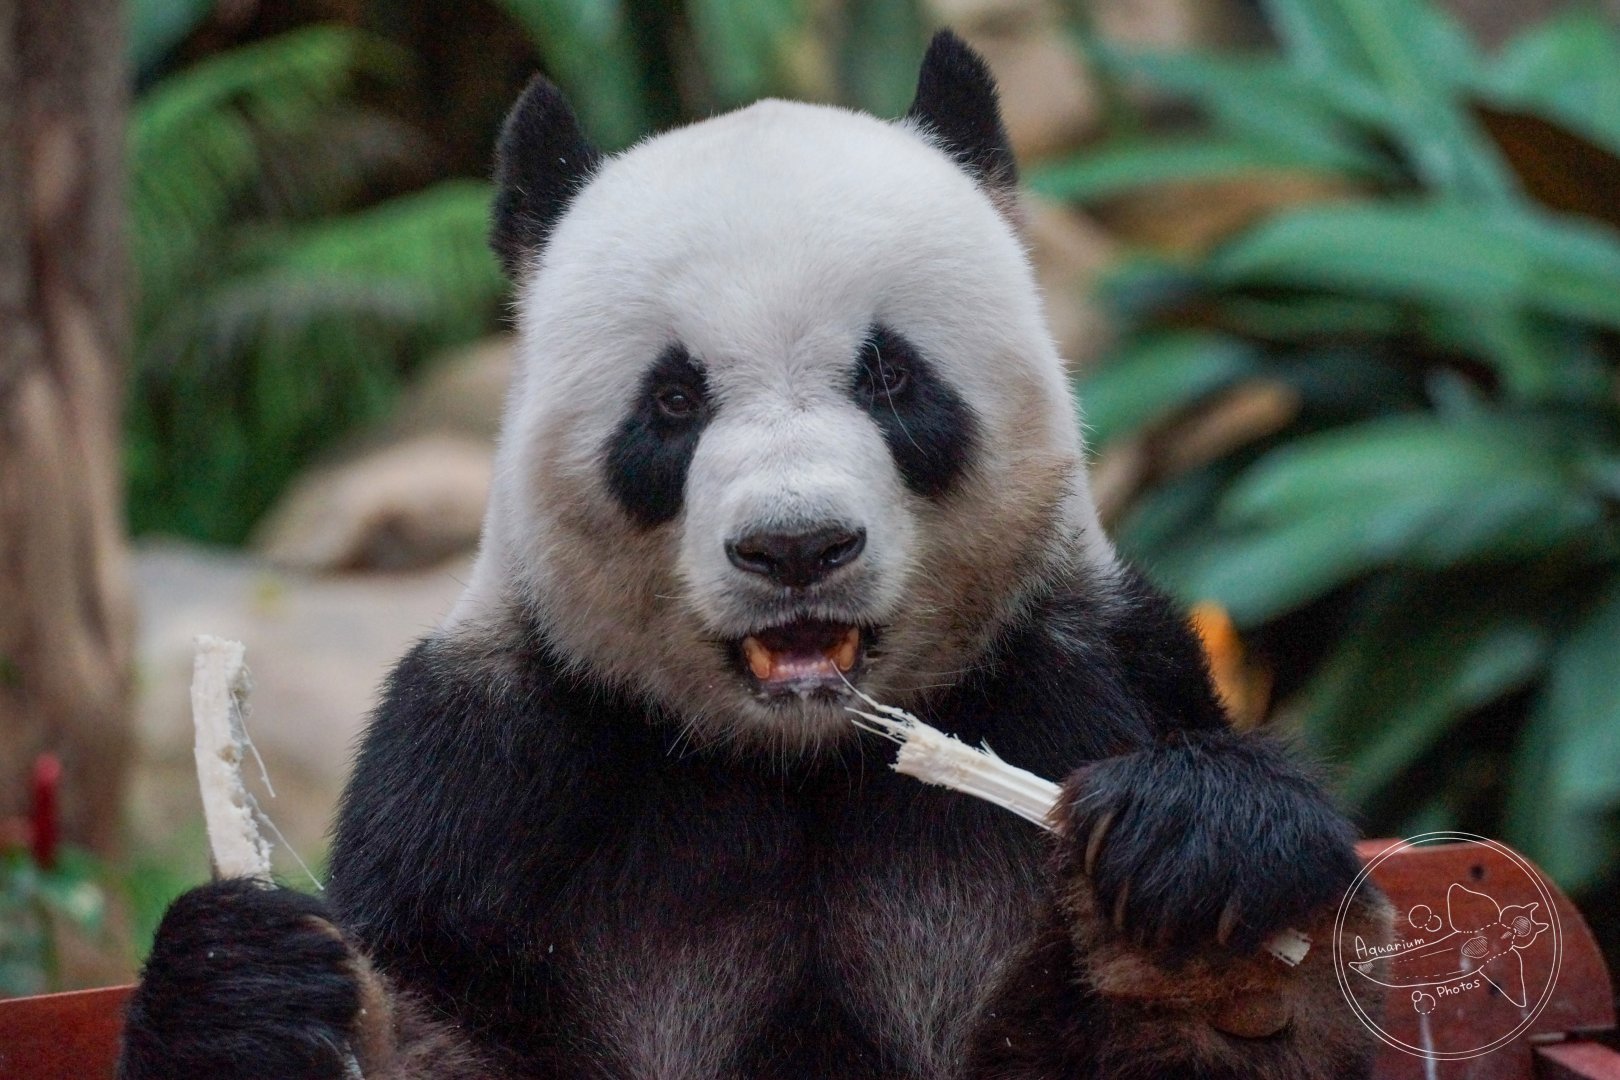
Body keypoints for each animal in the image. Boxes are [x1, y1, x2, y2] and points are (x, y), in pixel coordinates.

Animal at [119, 31, 1389, 1080]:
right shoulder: (491, 776)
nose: (796, 546)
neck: (799, 758)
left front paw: (1196, 848)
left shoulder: (1078, 673)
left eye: (890, 375)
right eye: (673, 401)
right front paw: (242, 992)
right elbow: (430, 1020)